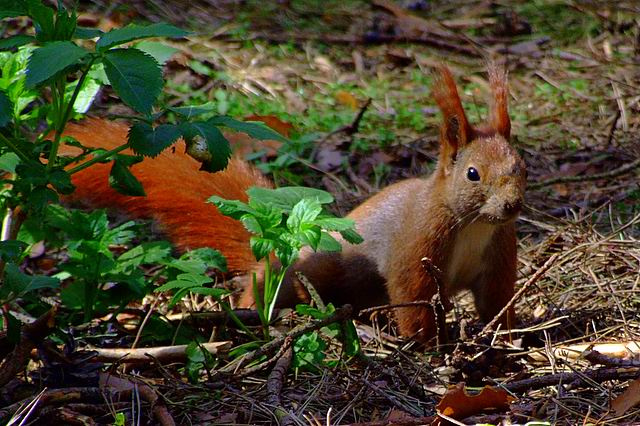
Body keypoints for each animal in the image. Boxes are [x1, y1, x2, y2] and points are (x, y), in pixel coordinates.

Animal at [62, 64, 526, 343]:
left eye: (521, 165)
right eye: (473, 174)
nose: (513, 206)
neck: (473, 224)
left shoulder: (499, 253)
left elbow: (497, 299)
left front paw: (505, 337)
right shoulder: (417, 246)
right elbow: (412, 296)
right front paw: (426, 345)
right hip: (315, 264)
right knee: (266, 285)